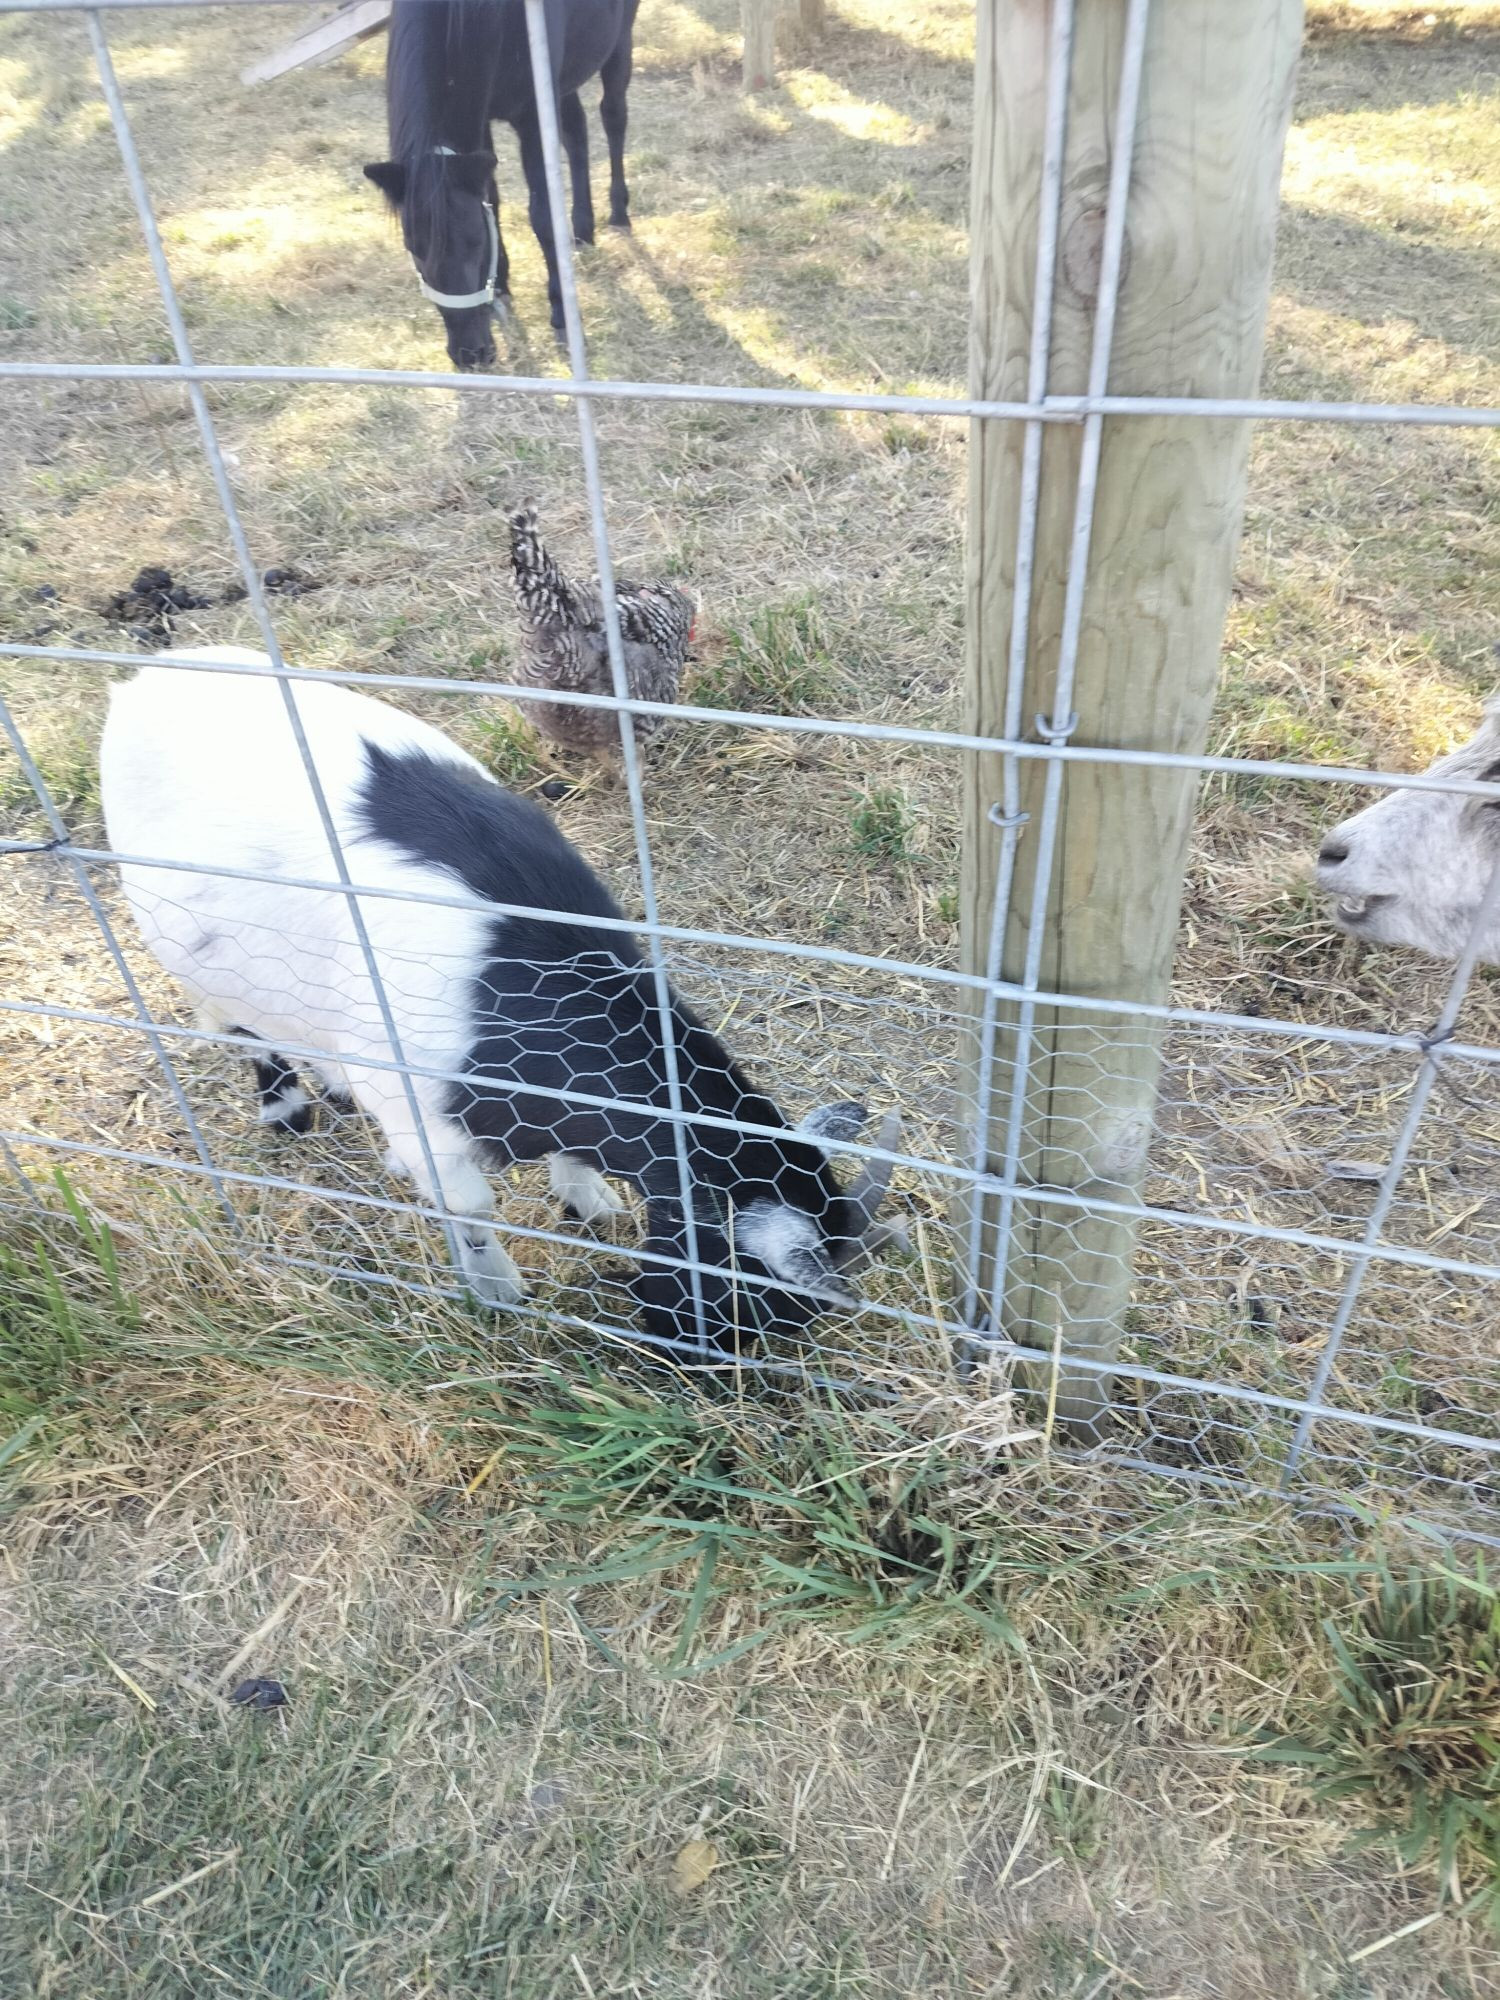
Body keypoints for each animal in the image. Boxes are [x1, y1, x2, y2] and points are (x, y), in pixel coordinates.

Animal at [106, 652, 912, 1344]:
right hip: (180, 939)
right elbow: (469, 1208)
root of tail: (149, 675)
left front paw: (587, 1201)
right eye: (752, 1286)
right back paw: (286, 1104)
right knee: (242, 1024)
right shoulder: (416, 1099)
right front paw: (495, 1290)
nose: (696, 1355)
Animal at [370, 0, 640, 368]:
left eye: (475, 243)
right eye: (414, 249)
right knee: (577, 134)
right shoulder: (481, 118)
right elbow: (492, 200)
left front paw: (561, 314)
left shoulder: (533, 116)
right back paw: (582, 230)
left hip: (619, 43)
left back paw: (618, 214)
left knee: (613, 116)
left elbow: (542, 216)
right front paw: (500, 284)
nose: (470, 354)